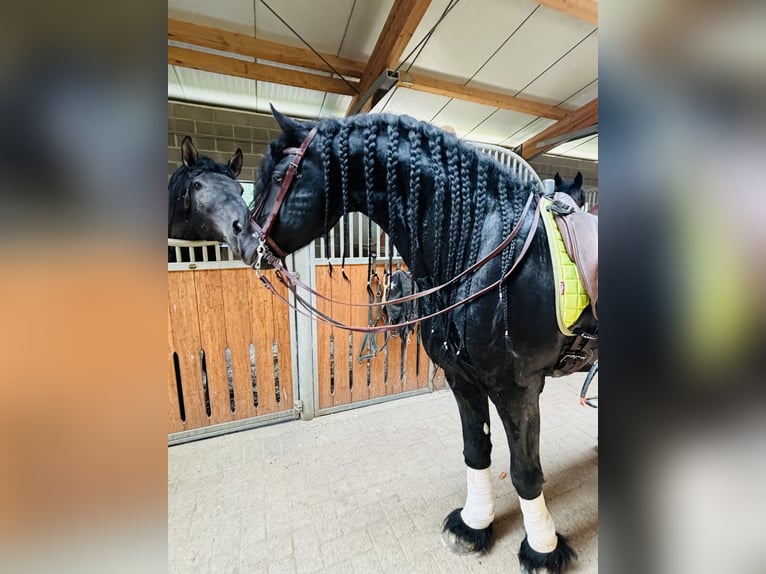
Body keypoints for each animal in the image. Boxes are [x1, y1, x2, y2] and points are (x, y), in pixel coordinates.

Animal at [238, 108, 597, 573]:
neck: (483, 255)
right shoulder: (463, 380)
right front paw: (473, 526)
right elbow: (476, 450)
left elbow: (524, 471)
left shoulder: (517, 390)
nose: (244, 242)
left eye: (281, 174)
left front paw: (542, 550)